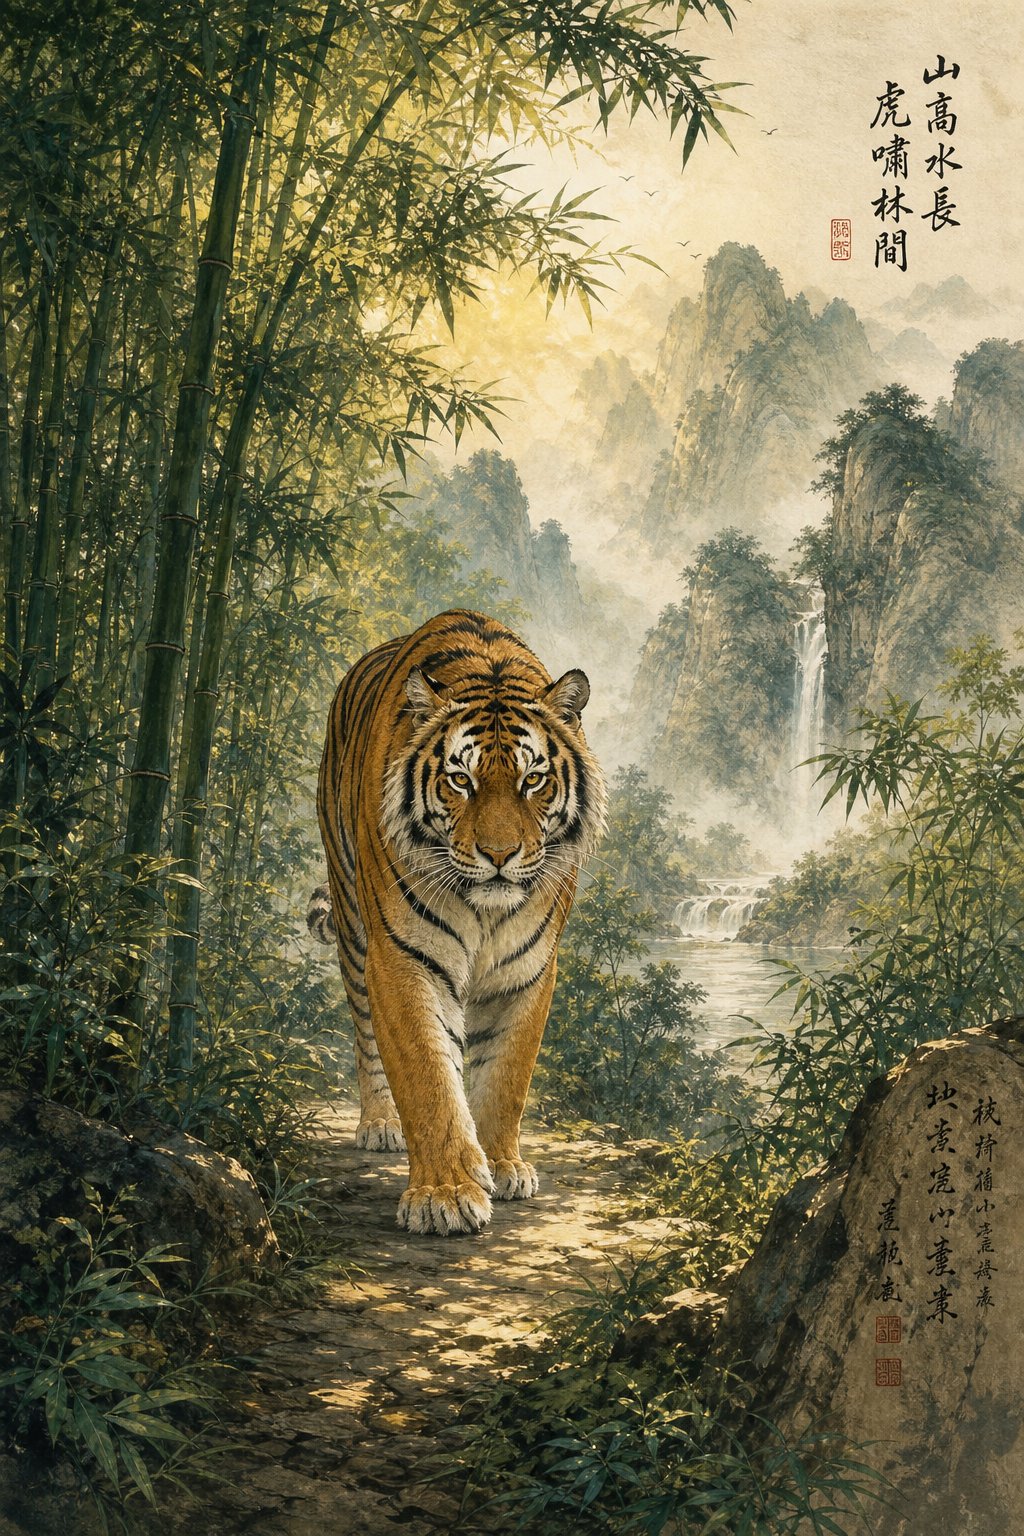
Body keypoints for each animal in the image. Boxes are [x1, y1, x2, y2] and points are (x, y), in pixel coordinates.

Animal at [307, 609, 606, 1236]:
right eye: (460, 780)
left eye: (532, 780)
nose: (499, 854)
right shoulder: (403, 957)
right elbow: (427, 1076)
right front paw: (444, 1195)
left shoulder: (529, 968)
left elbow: (506, 1075)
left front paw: (503, 1165)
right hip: (351, 918)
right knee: (365, 1031)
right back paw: (381, 1125)